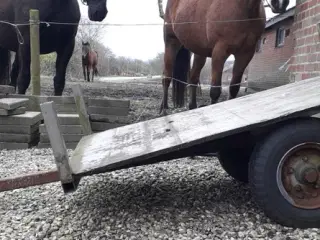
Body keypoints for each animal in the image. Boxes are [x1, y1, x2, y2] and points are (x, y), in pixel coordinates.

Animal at [159, 0, 290, 115]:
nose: (281, 4)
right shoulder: (219, 51)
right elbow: (215, 90)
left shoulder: (245, 54)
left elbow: (234, 88)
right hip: (171, 42)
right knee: (167, 77)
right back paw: (164, 109)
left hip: (198, 51)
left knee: (193, 77)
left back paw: (192, 106)